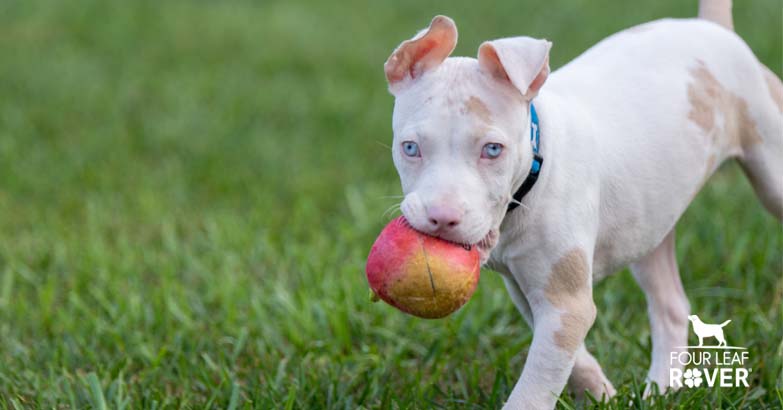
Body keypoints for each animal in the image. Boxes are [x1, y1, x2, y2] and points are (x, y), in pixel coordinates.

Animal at [384, 0, 783, 406]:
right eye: (410, 148)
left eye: (492, 150)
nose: (441, 218)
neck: (534, 171)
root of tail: (712, 28)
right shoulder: (533, 293)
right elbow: (567, 359)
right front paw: (602, 394)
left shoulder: (564, 304)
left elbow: (534, 388)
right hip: (649, 220)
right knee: (671, 305)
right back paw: (660, 390)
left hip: (771, 168)